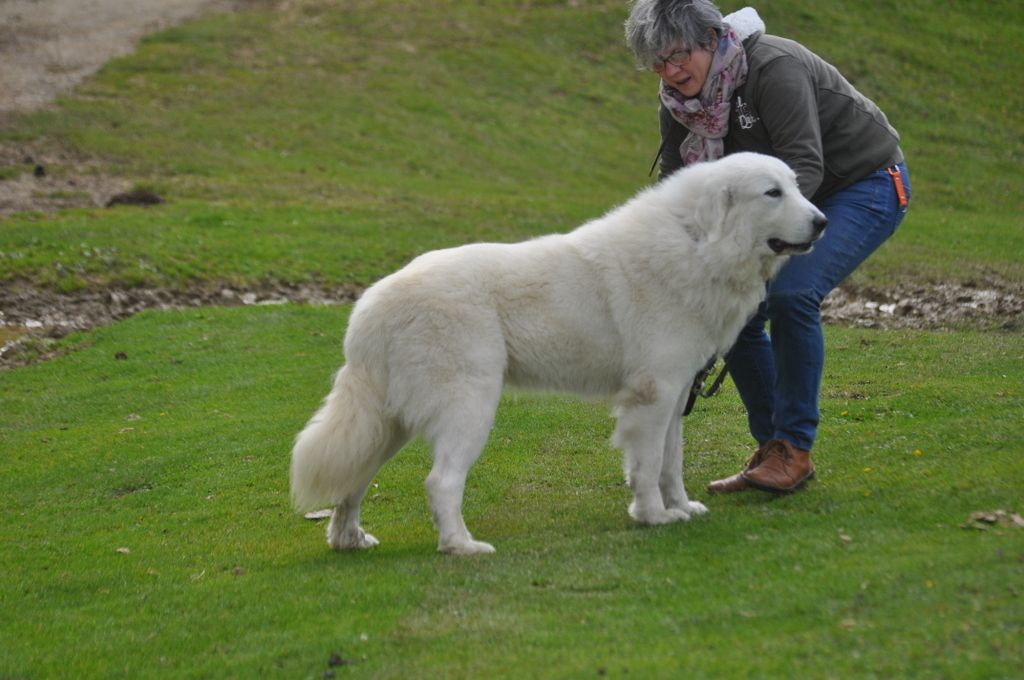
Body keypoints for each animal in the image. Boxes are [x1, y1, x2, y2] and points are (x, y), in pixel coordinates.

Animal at [288, 155, 823, 557]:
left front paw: (681, 508)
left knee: (354, 479)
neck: (697, 241)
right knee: (440, 481)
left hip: (388, 420)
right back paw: (462, 546)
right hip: (469, 405)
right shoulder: (653, 396)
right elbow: (649, 464)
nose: (821, 222)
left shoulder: (674, 395)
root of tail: (372, 304)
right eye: (772, 193)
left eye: (795, 186)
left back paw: (349, 539)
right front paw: (653, 516)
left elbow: (671, 462)